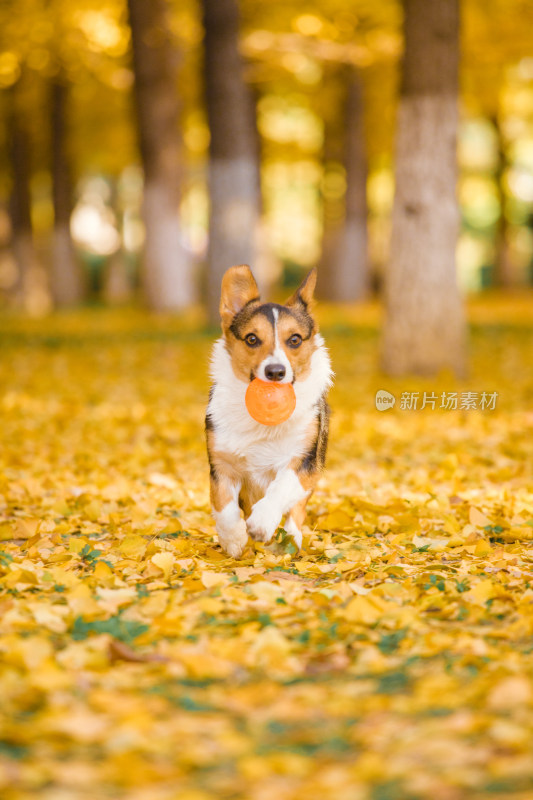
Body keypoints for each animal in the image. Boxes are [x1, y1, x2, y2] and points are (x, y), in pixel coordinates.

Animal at [206, 266, 330, 560]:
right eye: (252, 339)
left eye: (294, 340)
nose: (275, 372)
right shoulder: (221, 465)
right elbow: (223, 507)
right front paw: (234, 539)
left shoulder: (304, 462)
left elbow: (281, 488)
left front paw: (261, 523)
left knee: (296, 510)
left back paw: (291, 539)